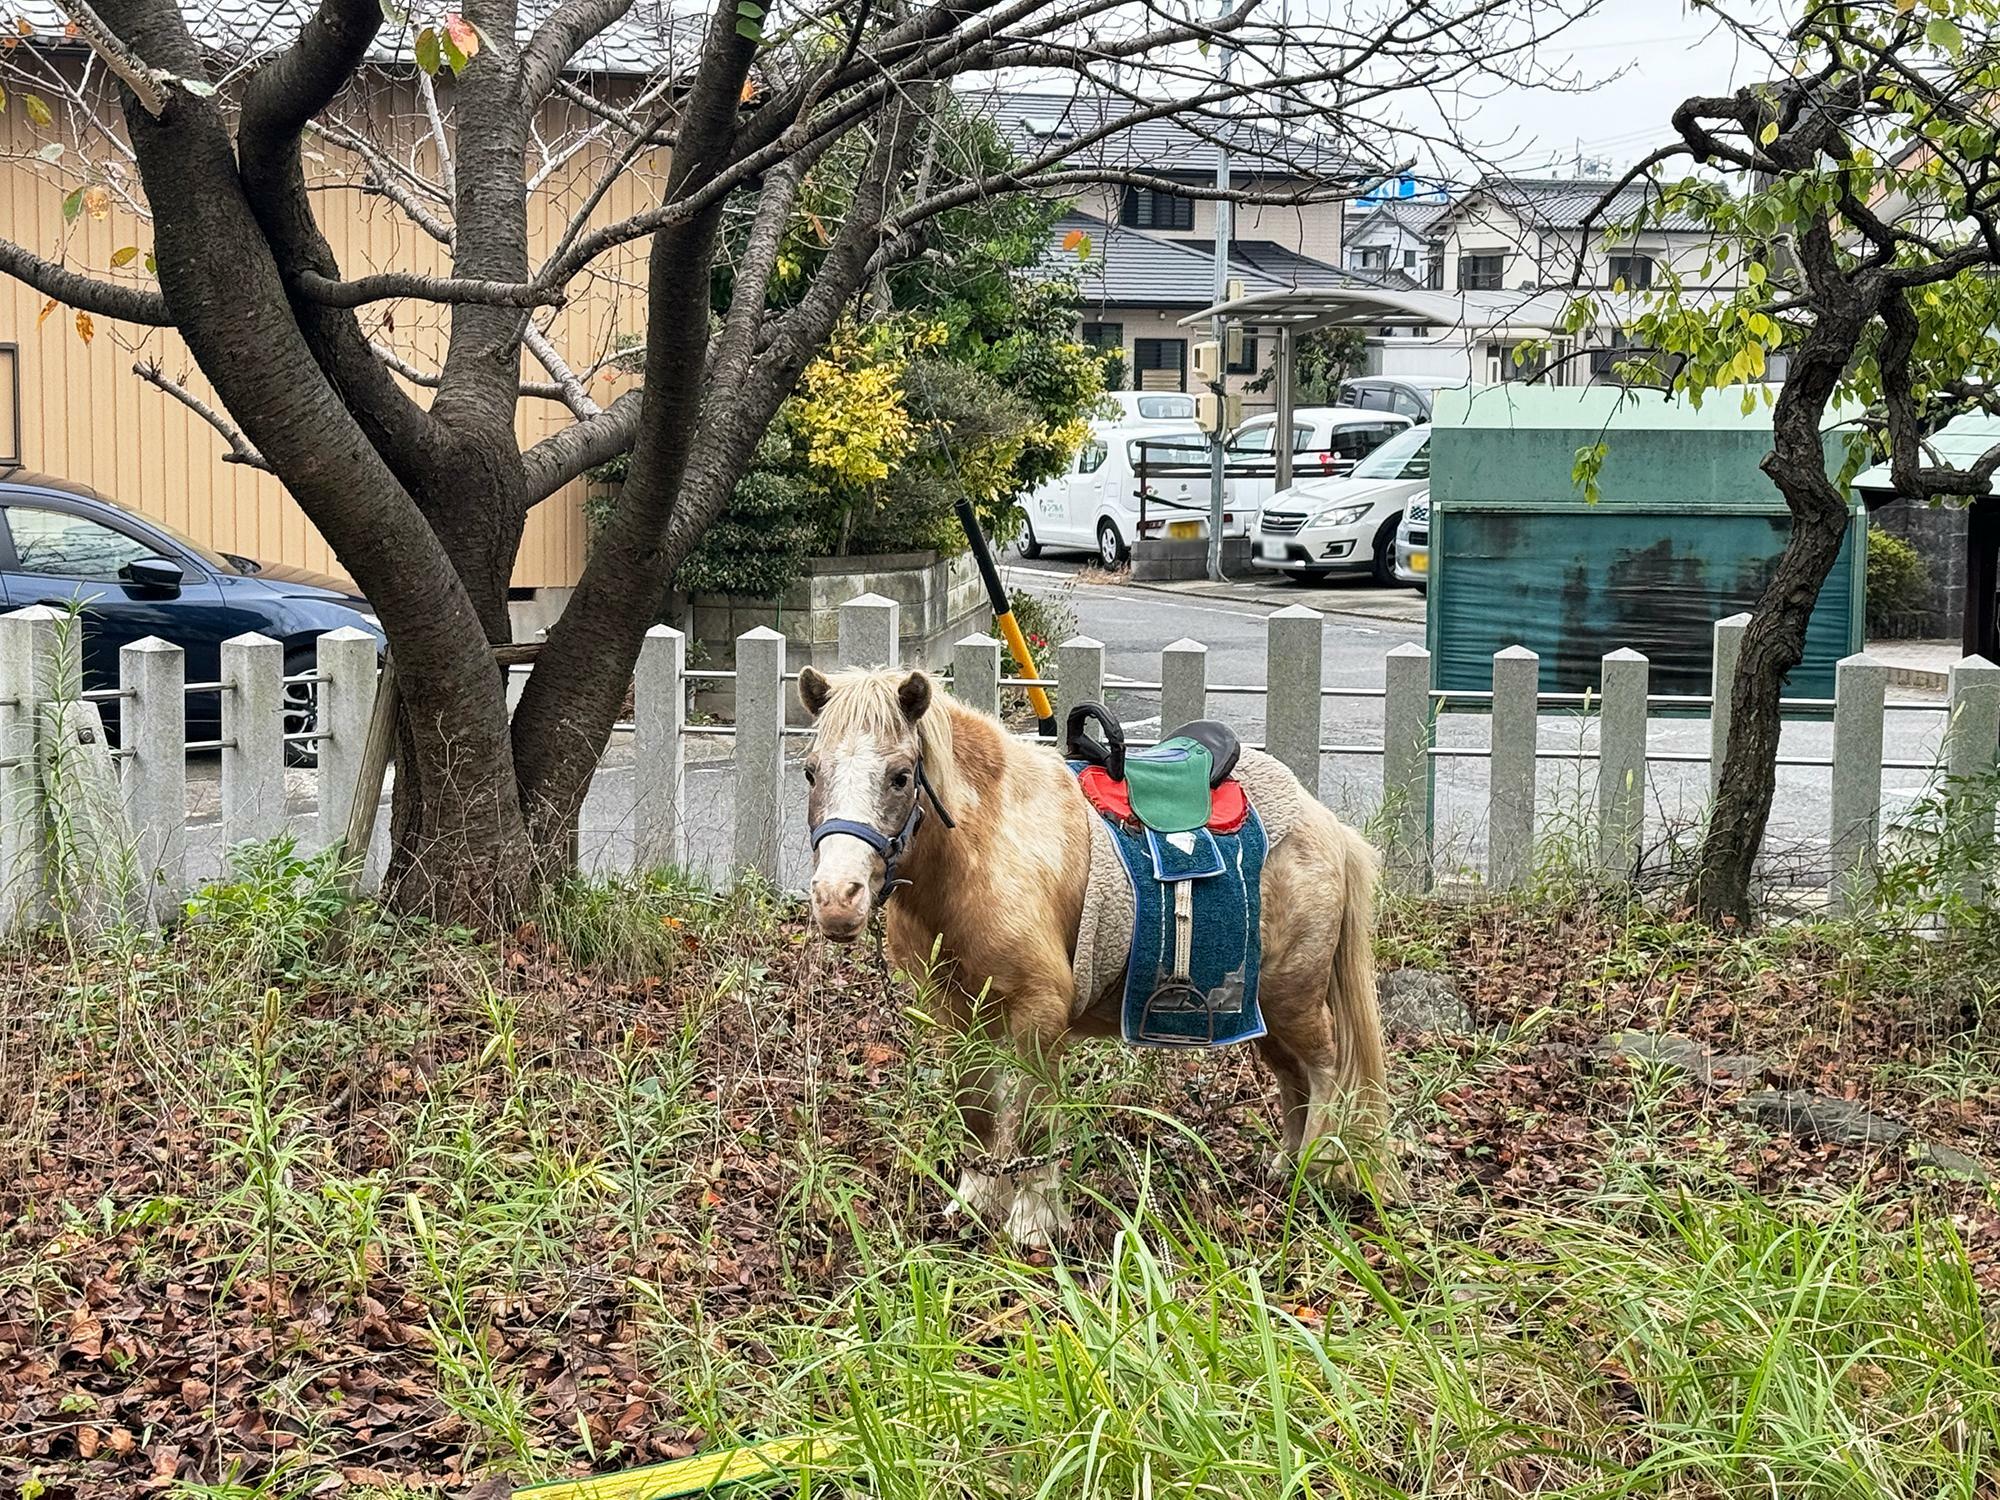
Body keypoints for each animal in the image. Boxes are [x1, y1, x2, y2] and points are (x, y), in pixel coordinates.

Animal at [796, 668, 1392, 1248]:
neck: (987, 849)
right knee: (1294, 1078)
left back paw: (1318, 1168)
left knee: (1324, 1069)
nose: (836, 899)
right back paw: (1287, 1167)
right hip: (1259, 1009)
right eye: (810, 772)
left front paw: (1032, 1221)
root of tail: (1326, 827)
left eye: (900, 776)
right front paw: (974, 1202)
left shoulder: (1040, 1014)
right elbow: (976, 1108)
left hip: (1295, 998)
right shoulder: (958, 1014)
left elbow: (1035, 1122)